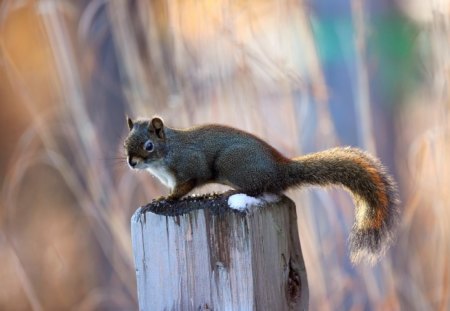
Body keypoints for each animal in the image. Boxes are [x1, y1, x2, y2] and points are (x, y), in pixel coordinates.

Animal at [122, 116, 398, 264]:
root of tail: (280, 169)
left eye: (148, 145)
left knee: (257, 188)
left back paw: (227, 194)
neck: (166, 153)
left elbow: (186, 186)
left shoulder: (190, 166)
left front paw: (165, 199)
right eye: (125, 143)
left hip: (233, 164)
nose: (131, 163)